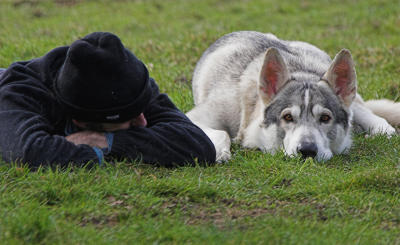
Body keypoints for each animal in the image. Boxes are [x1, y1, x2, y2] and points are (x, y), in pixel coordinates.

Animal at [188, 31, 400, 161]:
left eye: (325, 118)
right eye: (288, 117)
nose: (307, 151)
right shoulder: (194, 118)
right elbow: (222, 133)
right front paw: (221, 153)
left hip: (357, 106)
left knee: (383, 125)